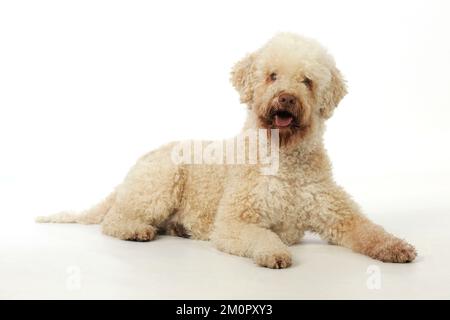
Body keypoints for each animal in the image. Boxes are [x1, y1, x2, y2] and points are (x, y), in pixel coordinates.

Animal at [37, 33, 416, 268]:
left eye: (307, 81)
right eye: (272, 76)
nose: (286, 99)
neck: (284, 160)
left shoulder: (339, 216)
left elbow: (368, 229)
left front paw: (395, 246)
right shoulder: (235, 220)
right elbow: (261, 235)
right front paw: (273, 253)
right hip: (163, 179)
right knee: (114, 219)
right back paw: (135, 230)